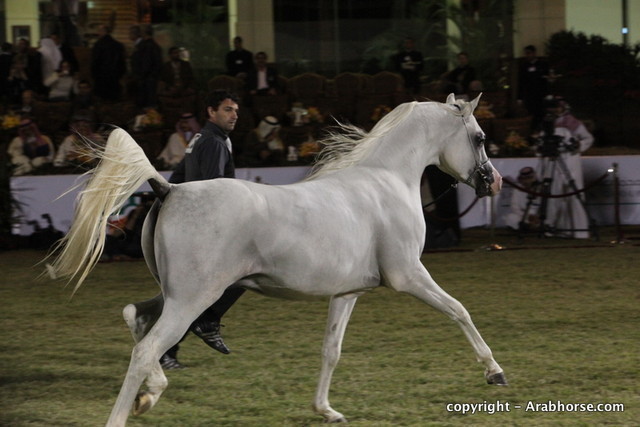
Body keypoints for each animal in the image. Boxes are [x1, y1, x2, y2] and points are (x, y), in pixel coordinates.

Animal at [49, 94, 506, 426]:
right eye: (480, 137)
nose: (493, 182)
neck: (386, 180)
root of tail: (169, 189)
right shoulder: (408, 275)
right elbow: (459, 310)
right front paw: (494, 372)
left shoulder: (348, 292)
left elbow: (331, 350)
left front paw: (326, 410)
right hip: (192, 298)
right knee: (146, 349)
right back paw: (131, 409)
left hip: (176, 294)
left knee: (136, 318)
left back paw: (150, 394)